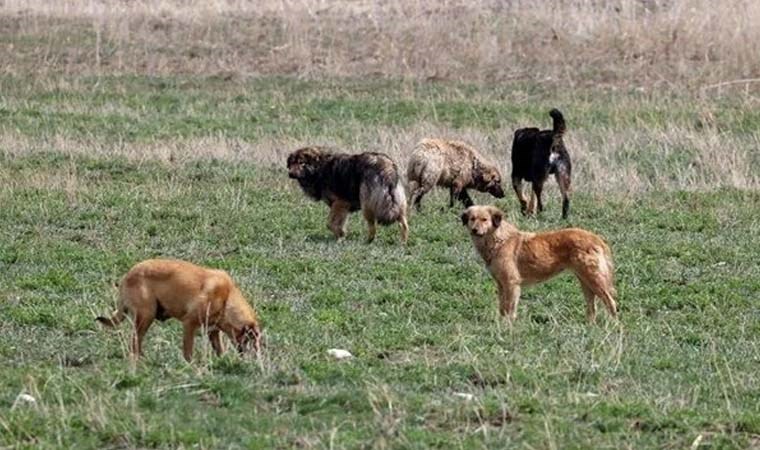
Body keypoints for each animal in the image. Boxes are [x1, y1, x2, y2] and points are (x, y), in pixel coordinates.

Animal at [95, 258, 262, 360]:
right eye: (250, 339)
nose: (249, 357)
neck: (226, 298)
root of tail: (127, 276)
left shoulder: (213, 331)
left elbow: (219, 350)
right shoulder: (189, 324)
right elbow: (188, 351)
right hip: (146, 316)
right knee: (135, 341)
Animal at [460, 204, 616, 324]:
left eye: (484, 219)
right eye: (472, 219)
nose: (474, 230)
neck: (499, 239)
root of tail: (596, 238)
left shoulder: (511, 283)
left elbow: (510, 308)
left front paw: (508, 326)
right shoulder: (501, 284)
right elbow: (502, 307)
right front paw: (501, 323)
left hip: (594, 280)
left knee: (611, 302)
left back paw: (613, 326)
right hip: (585, 282)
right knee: (592, 308)